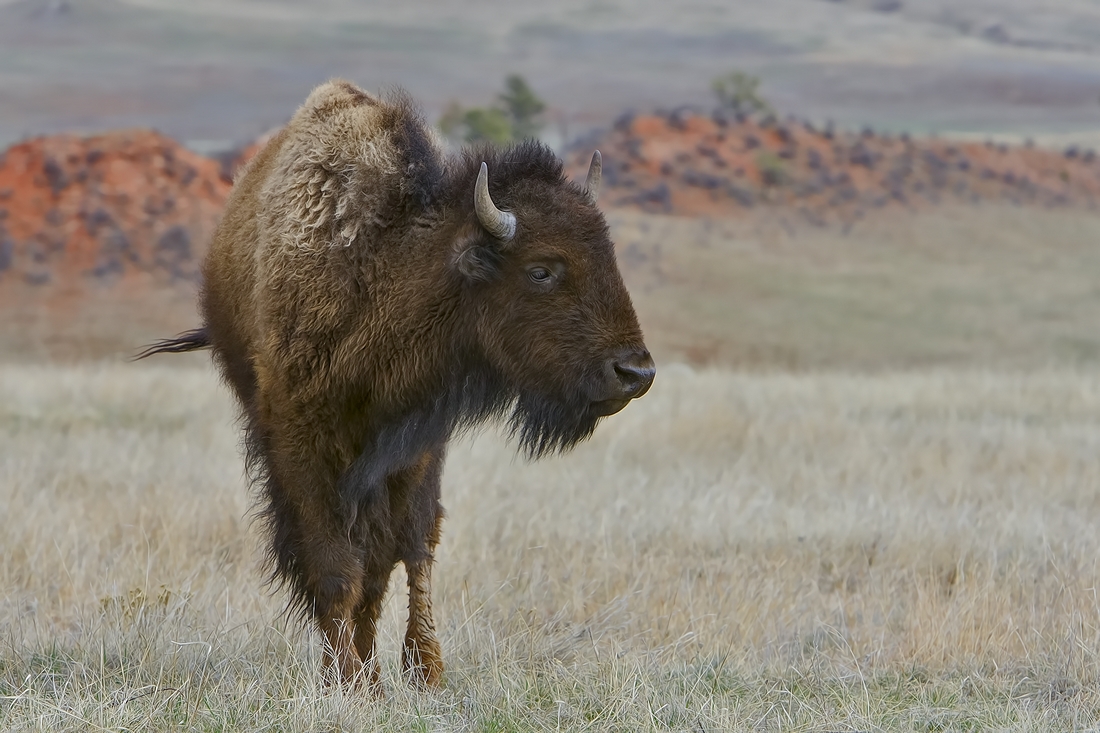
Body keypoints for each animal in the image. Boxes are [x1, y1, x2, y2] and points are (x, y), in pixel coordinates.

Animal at [138, 81, 651, 691]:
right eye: (541, 270)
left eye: (609, 256)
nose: (636, 373)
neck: (379, 275)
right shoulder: (301, 442)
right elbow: (336, 565)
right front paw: (347, 680)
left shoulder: (417, 445)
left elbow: (409, 549)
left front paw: (421, 670)